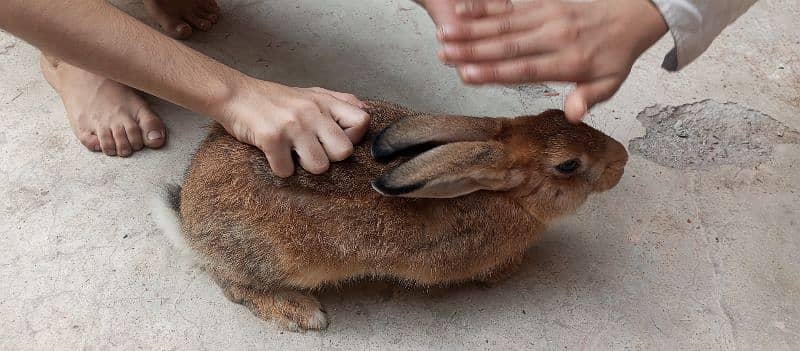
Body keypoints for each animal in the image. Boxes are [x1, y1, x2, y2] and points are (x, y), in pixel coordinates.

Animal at [155, 99, 632, 332]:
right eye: (568, 165)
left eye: (558, 114)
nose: (622, 159)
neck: (505, 193)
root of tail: (187, 218)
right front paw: (507, 271)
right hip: (273, 258)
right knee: (235, 286)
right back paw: (300, 313)